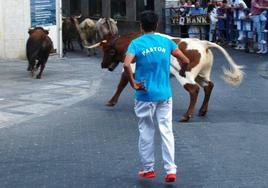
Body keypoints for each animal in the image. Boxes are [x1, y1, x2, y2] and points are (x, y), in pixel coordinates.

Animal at [89, 32, 244, 122]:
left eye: (107, 51)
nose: (102, 65)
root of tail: (203, 43)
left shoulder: (129, 69)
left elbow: (121, 85)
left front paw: (111, 101)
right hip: (202, 74)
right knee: (209, 86)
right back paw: (202, 110)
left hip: (185, 75)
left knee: (194, 90)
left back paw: (187, 115)